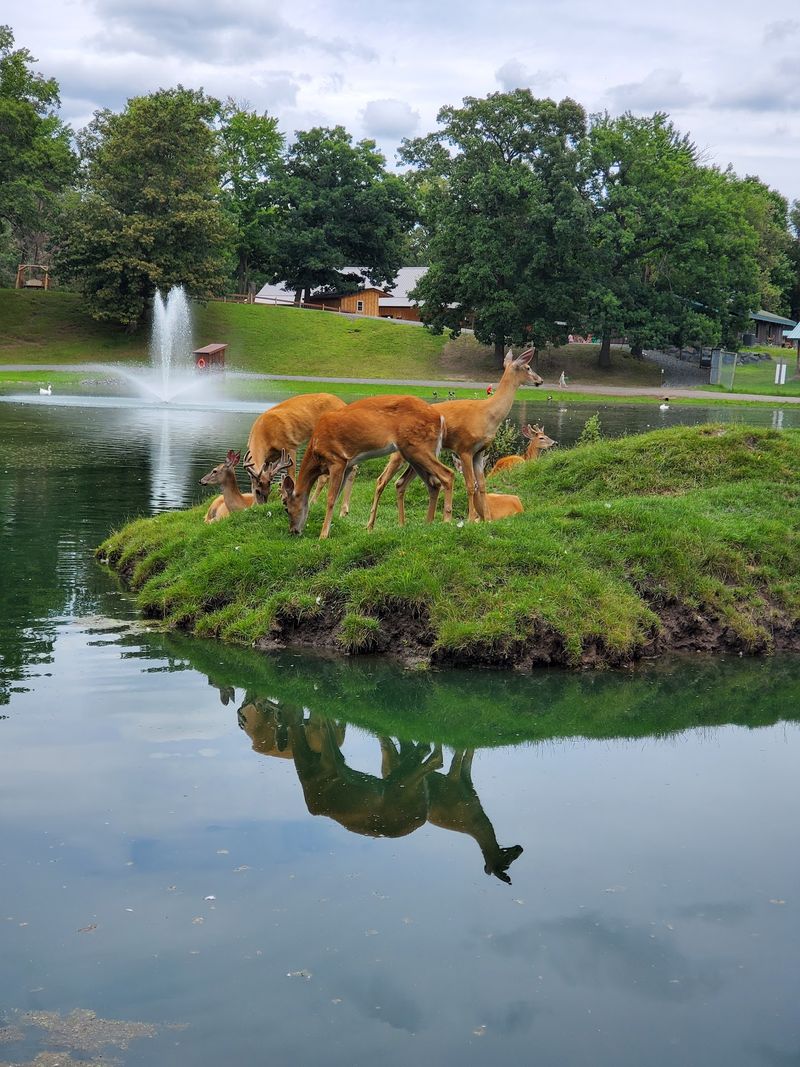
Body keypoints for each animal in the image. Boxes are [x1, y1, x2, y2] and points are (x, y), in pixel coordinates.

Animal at [273, 395, 456, 539]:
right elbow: (337, 497)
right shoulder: (348, 464)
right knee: (433, 484)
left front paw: (323, 535)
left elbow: (331, 499)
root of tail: (440, 418)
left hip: (418, 448)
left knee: (448, 474)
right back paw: (428, 523)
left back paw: (446, 520)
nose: (293, 531)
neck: (316, 451)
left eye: (286, 508)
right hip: (413, 452)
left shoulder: (337, 459)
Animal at [366, 348, 542, 531]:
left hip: (416, 457)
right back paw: (370, 525)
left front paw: (487, 519)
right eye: (528, 367)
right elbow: (470, 485)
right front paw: (471, 519)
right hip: (400, 455)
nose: (540, 380)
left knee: (400, 483)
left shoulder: (479, 452)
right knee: (381, 480)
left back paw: (402, 523)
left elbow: (482, 485)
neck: (487, 414)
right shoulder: (464, 448)